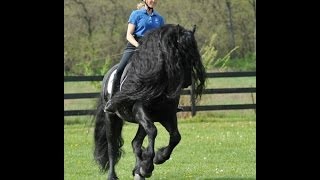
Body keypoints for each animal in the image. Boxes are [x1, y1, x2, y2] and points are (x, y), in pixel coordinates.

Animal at [94, 24, 206, 180]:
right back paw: (113, 175)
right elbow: (153, 131)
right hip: (111, 117)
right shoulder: (140, 110)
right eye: (182, 50)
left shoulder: (167, 115)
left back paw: (138, 171)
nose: (188, 81)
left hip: (141, 121)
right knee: (112, 146)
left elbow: (175, 137)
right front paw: (147, 166)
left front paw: (157, 159)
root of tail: (107, 75)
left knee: (135, 142)